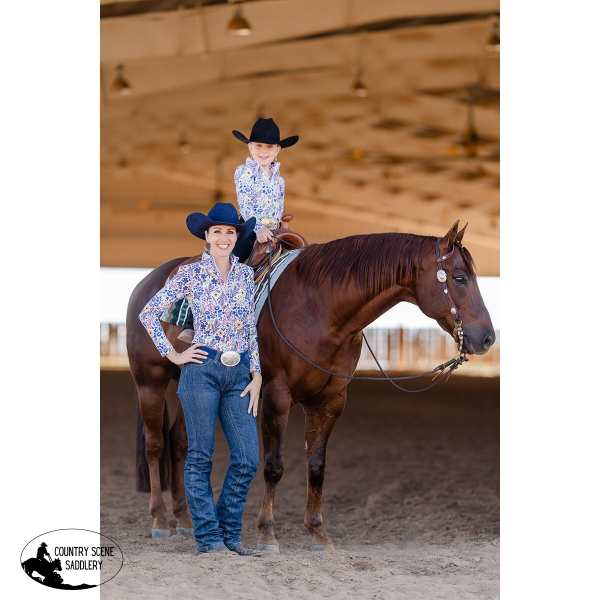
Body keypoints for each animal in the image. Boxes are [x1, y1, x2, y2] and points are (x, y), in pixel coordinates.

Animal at [124, 221, 494, 548]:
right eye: (460, 278)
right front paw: (267, 534)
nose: (487, 337)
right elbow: (274, 465)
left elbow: (316, 467)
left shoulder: (330, 400)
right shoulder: (276, 395)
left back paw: (184, 520)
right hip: (150, 384)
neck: (321, 308)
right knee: (155, 445)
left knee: (180, 443)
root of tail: (149, 281)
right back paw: (159, 520)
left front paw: (317, 532)